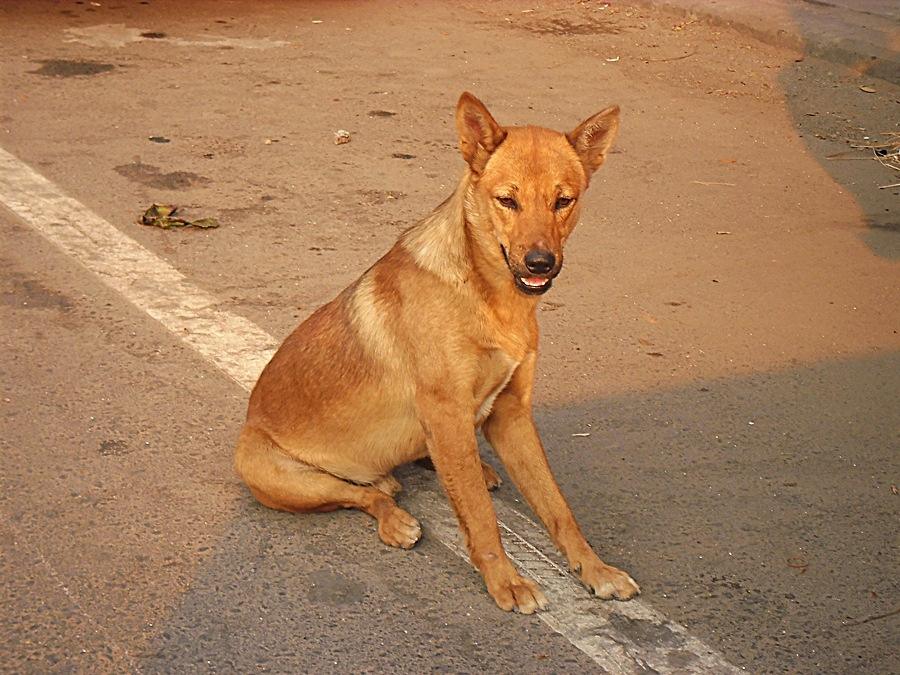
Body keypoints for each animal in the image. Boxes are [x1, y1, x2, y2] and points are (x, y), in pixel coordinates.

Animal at [234, 92, 640, 616]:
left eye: (562, 201)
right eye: (507, 200)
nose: (540, 264)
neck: (487, 296)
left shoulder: (511, 415)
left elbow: (556, 507)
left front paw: (595, 570)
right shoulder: (447, 414)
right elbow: (482, 518)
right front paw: (506, 581)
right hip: (271, 471)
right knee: (361, 496)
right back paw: (392, 511)